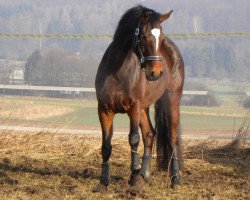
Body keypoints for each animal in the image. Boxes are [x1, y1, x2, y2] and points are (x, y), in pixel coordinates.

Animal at [94, 5, 184, 192]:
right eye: (143, 36)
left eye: (160, 38)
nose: (155, 72)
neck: (117, 71)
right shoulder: (104, 110)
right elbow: (106, 145)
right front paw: (103, 182)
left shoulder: (133, 108)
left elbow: (133, 139)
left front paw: (134, 175)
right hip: (144, 107)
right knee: (150, 134)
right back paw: (144, 175)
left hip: (171, 102)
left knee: (172, 138)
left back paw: (174, 180)